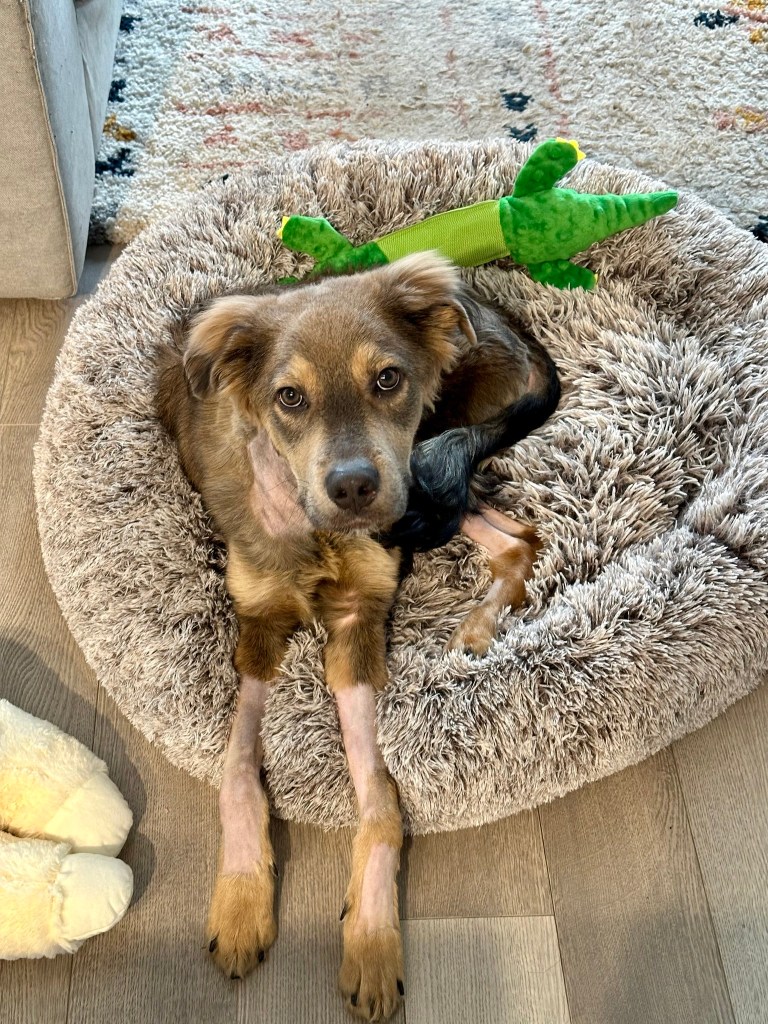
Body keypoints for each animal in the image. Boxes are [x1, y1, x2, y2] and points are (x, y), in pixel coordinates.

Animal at [156, 251, 561, 1019]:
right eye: (289, 398)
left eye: (388, 379)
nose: (352, 490)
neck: (316, 531)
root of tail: (506, 320)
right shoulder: (258, 625)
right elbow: (236, 768)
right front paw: (241, 904)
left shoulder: (357, 626)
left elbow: (379, 802)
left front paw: (371, 941)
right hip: (421, 484)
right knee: (516, 537)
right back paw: (477, 626)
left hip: (424, 468)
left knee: (510, 532)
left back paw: (475, 628)